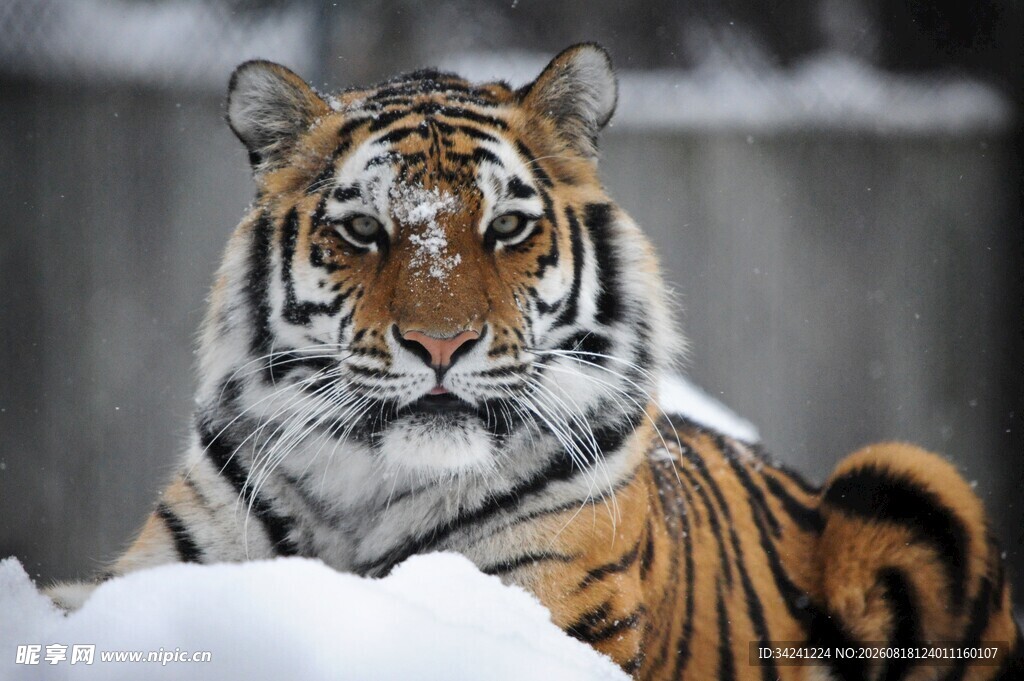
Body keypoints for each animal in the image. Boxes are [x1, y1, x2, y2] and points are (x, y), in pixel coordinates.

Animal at [44, 43, 1021, 680]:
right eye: (363, 229)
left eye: (507, 226)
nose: (440, 344)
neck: (364, 499)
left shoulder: (548, 606)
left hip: (914, 478)